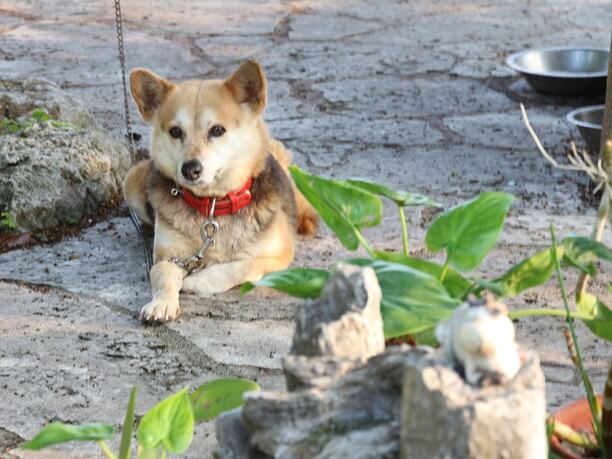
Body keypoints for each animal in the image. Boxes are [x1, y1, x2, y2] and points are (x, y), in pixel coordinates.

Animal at [122, 61, 318, 326]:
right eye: (175, 131)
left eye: (217, 130)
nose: (190, 169)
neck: (213, 205)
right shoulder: (166, 257)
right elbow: (163, 275)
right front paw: (161, 303)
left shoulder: (279, 256)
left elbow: (241, 266)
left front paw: (196, 280)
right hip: (132, 180)